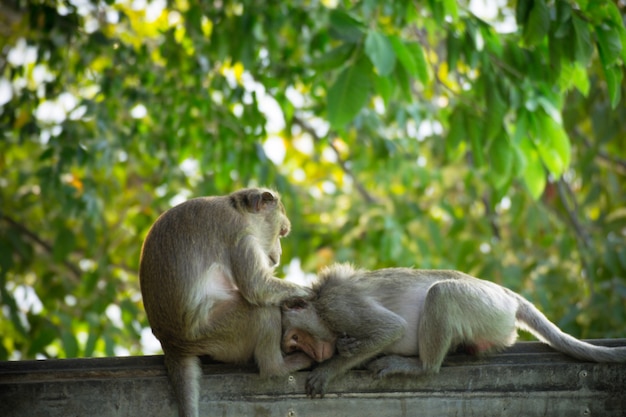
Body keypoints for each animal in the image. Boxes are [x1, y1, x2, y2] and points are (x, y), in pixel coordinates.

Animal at [136, 188, 312, 416]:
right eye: (281, 232)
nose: (278, 254)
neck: (239, 210)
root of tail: (171, 345)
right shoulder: (240, 234)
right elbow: (257, 287)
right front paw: (312, 292)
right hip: (215, 333)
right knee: (260, 310)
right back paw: (277, 367)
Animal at [280, 264, 624, 396]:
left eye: (294, 339)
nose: (303, 352)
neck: (319, 307)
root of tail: (507, 295)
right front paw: (343, 352)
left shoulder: (339, 307)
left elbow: (391, 329)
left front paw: (329, 369)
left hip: (488, 307)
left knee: (442, 293)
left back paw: (421, 367)